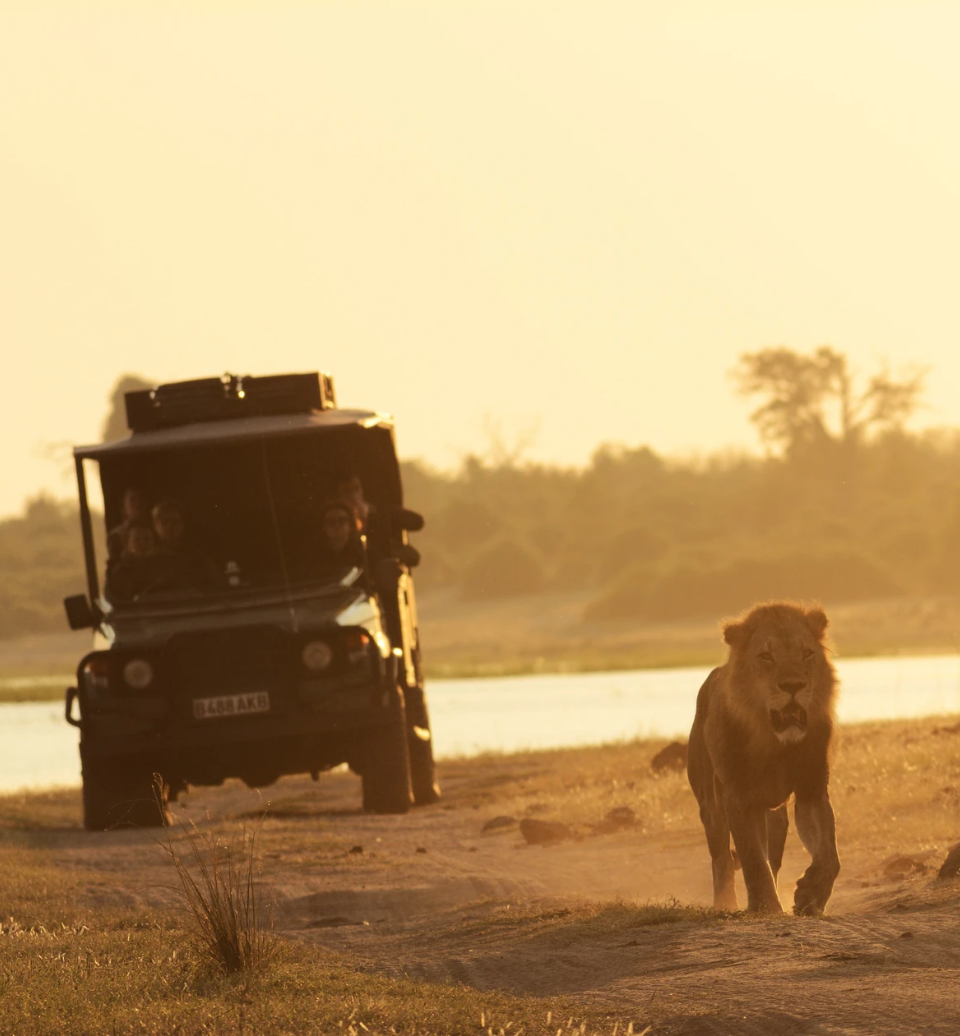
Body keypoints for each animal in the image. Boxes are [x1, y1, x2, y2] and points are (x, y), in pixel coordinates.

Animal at [687, 602, 840, 915]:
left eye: (807, 653)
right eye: (766, 656)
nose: (793, 685)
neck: (775, 745)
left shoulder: (812, 789)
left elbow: (829, 854)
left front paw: (811, 895)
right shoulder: (738, 797)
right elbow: (753, 860)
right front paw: (766, 906)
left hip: (776, 816)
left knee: (773, 856)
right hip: (711, 806)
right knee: (721, 860)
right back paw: (725, 905)